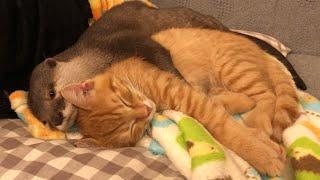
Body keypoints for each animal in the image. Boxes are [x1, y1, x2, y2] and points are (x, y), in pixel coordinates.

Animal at [61, 58, 284, 176]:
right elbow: (224, 115)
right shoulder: (195, 98)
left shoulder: (188, 96)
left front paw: (264, 156)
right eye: (132, 128)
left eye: (124, 100)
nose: (145, 111)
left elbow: (227, 129)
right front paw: (266, 147)